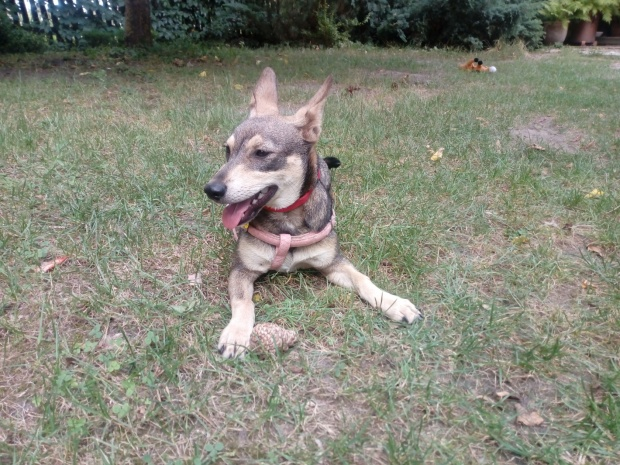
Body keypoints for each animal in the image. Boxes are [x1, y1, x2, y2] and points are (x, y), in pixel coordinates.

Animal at [204, 68, 422, 358]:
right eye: (227, 150)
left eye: (261, 153)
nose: (211, 189)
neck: (286, 222)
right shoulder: (241, 269)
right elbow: (244, 302)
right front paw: (237, 334)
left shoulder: (333, 263)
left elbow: (363, 278)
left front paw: (393, 302)